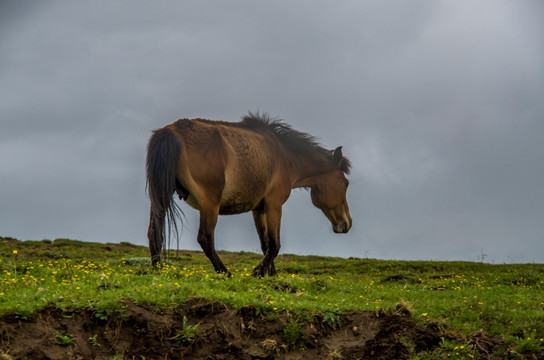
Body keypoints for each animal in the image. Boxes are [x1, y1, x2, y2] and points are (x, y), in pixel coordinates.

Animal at [146, 112, 352, 276]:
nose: (347, 223)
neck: (284, 156)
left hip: (159, 197)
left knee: (154, 232)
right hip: (210, 203)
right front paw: (258, 271)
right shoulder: (274, 204)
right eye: (346, 184)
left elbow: (265, 244)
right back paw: (225, 272)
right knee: (205, 238)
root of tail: (171, 131)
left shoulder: (258, 209)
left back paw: (157, 269)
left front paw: (270, 274)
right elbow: (275, 245)